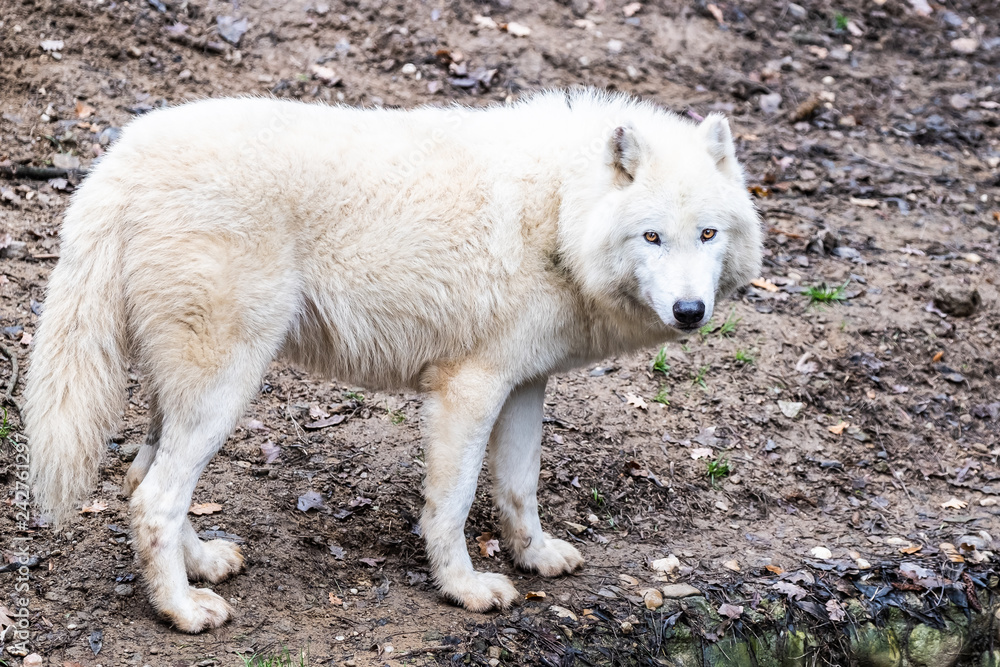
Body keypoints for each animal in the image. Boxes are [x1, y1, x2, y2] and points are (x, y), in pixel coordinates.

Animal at [24, 89, 762, 632]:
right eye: (652, 236)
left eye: (707, 233)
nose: (690, 310)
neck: (558, 209)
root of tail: (119, 159)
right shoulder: (469, 388)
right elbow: (454, 503)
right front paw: (465, 588)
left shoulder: (525, 384)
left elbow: (519, 487)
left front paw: (536, 556)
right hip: (225, 387)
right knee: (154, 497)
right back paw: (183, 611)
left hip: (183, 393)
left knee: (138, 479)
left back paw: (204, 563)